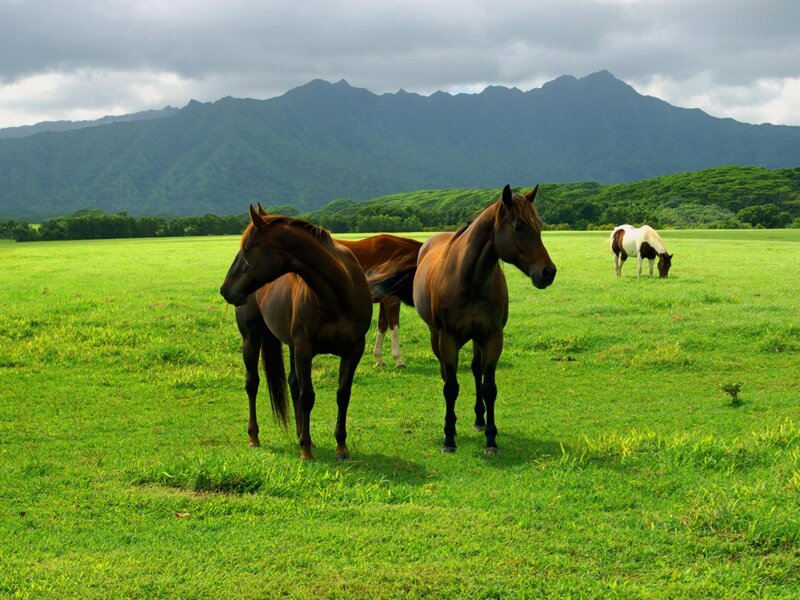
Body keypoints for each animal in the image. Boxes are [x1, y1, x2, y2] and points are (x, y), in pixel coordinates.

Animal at [219, 206, 372, 460]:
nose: (225, 290)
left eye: (247, 250)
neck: (338, 293)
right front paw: (306, 450)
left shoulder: (354, 350)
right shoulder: (304, 349)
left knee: (292, 383)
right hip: (251, 339)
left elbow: (343, 394)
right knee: (252, 383)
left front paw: (341, 446)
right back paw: (255, 437)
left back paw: (301, 432)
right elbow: (307, 396)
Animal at [337, 235, 422, 368]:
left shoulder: (384, 301)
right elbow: (394, 328)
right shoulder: (392, 300)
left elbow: (382, 327)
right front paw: (398, 360)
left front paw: (378, 358)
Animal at [370, 185, 556, 454]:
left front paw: (491, 438)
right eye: (519, 227)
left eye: (539, 226)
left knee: (476, 370)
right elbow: (451, 387)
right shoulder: (448, 339)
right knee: (446, 375)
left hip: (477, 339)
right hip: (436, 336)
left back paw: (479, 420)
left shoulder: (492, 337)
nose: (548, 272)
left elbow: (489, 388)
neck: (470, 280)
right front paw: (449, 437)